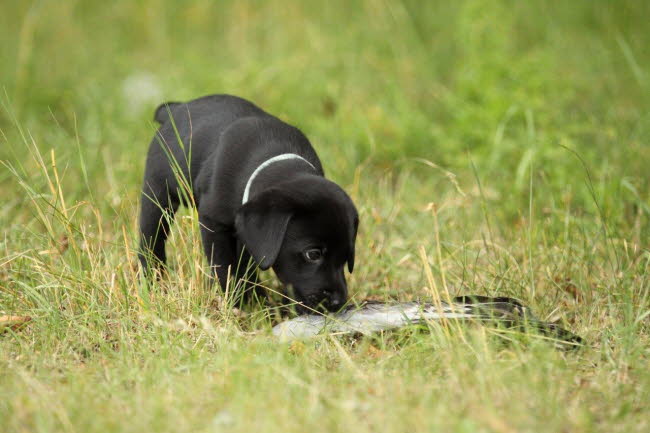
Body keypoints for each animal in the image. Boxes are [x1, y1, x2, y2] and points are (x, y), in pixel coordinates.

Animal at [139, 93, 356, 310]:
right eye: (313, 254)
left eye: (346, 257)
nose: (337, 303)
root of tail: (174, 109)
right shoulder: (213, 223)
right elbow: (224, 265)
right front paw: (239, 303)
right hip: (157, 195)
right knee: (150, 241)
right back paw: (153, 281)